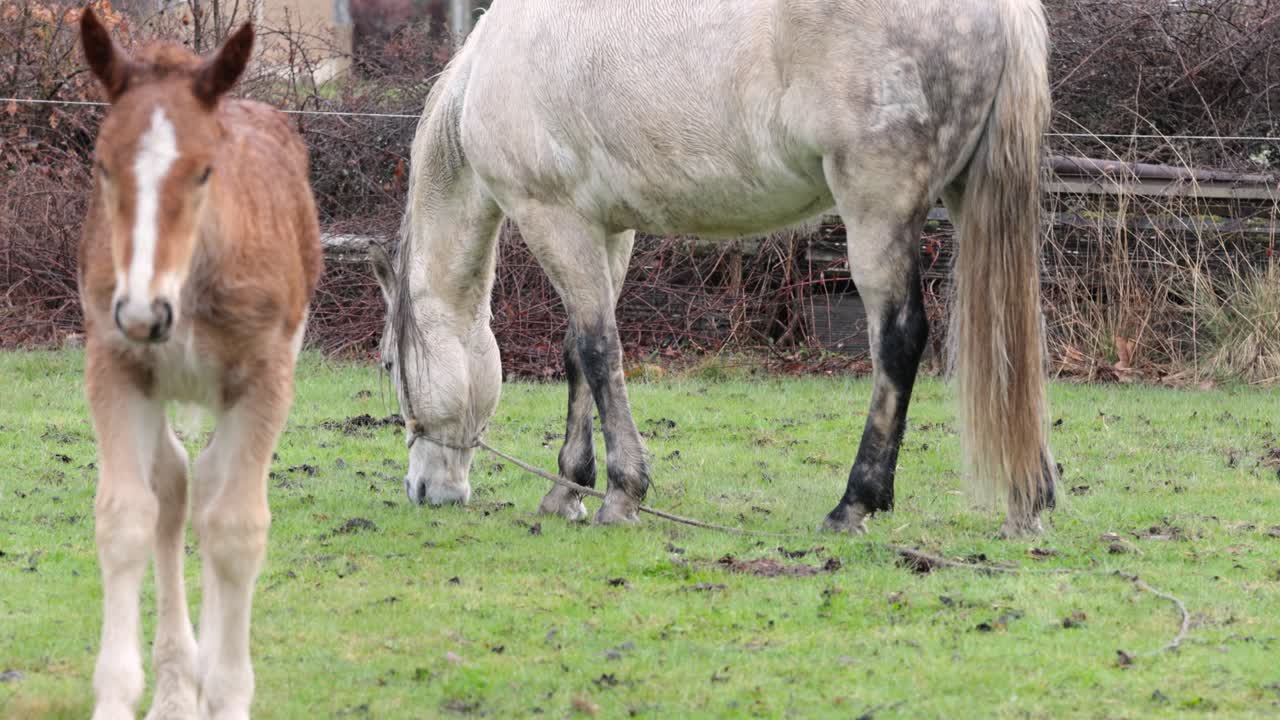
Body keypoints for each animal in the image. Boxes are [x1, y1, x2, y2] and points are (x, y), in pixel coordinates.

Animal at [77, 8, 322, 718]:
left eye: (206, 171)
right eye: (103, 165)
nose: (143, 313)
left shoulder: (265, 378)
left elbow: (237, 530)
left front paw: (230, 690)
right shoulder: (115, 367)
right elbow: (127, 517)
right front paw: (121, 693)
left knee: (213, 485)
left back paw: (208, 672)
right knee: (177, 483)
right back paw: (177, 688)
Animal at [373, 0, 1057, 538]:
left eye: (390, 368)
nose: (424, 492)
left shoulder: (553, 219)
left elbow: (597, 350)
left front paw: (621, 494)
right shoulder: (606, 229)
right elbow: (578, 355)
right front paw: (568, 489)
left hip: (877, 213)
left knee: (899, 339)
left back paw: (853, 504)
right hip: (969, 200)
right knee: (1010, 338)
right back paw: (1028, 501)